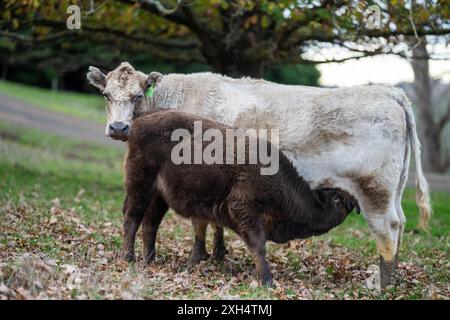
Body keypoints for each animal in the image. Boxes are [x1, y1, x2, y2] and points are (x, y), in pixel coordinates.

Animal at [87, 62, 428, 288]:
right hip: (393, 191)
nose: (118, 128)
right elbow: (214, 223)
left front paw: (198, 258)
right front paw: (218, 255)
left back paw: (382, 283)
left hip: (374, 191)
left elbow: (200, 223)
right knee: (400, 222)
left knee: (387, 228)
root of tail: (389, 92)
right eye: (106, 95)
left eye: (136, 95)